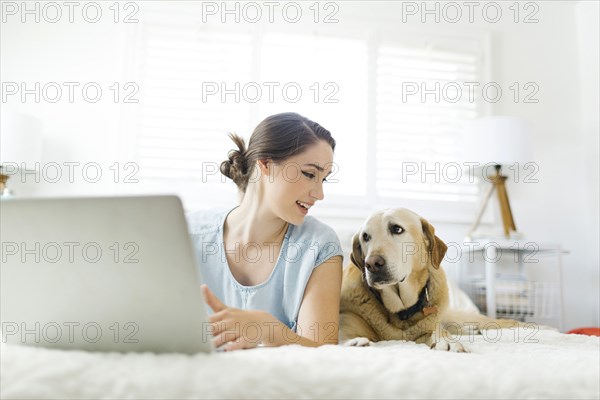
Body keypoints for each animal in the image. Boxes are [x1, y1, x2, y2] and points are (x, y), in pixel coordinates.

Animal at [342, 208, 524, 352]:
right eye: (366, 237)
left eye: (397, 229)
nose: (371, 264)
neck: (402, 310)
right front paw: (354, 342)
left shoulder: (430, 325)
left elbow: (440, 331)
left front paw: (448, 341)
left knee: (504, 322)